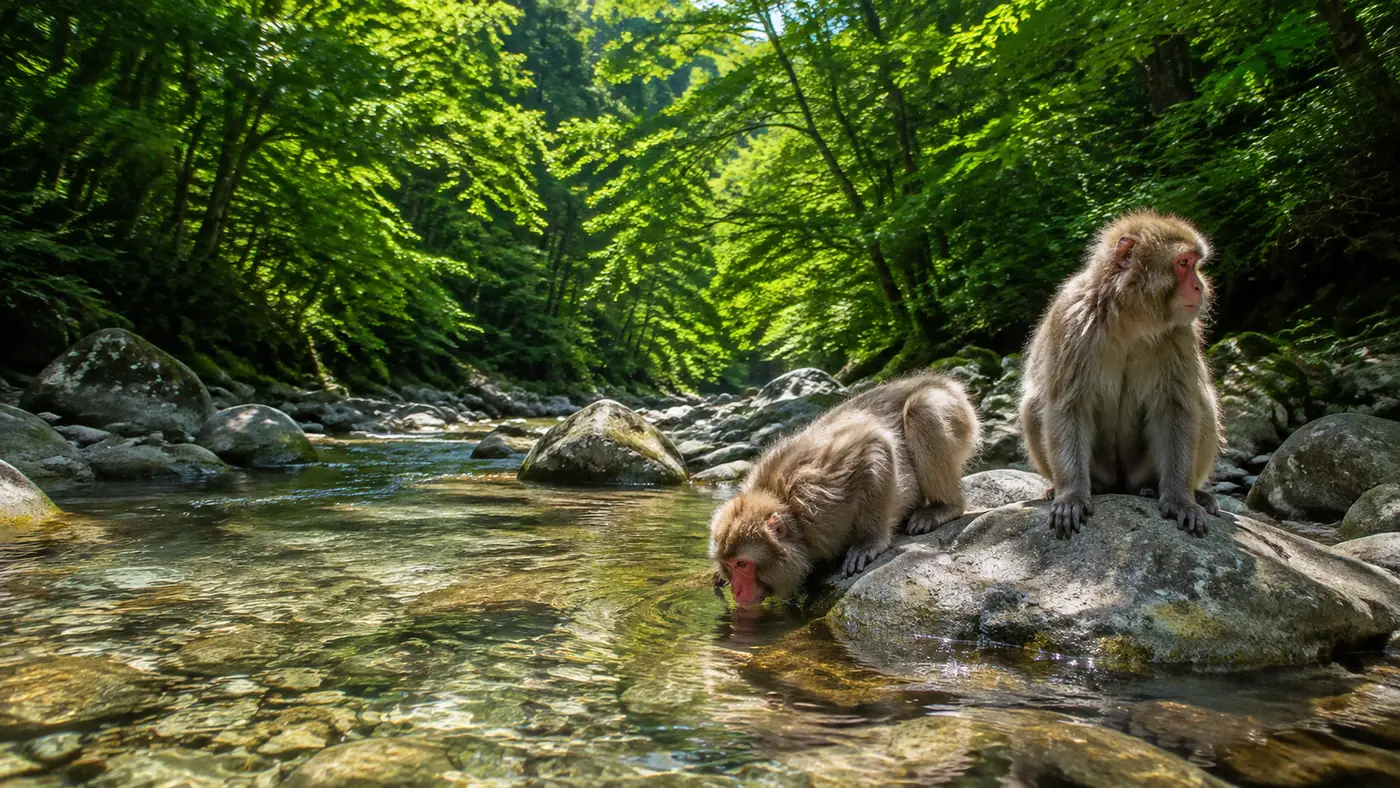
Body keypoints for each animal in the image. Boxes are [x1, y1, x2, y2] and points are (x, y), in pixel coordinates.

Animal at [709, 372, 981, 605]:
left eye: (742, 564)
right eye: (729, 564)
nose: (737, 591)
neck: (789, 509)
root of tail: (947, 384)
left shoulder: (820, 498)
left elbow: (875, 446)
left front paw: (870, 542)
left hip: (952, 410)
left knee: (921, 409)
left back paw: (943, 507)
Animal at [1019, 209, 1223, 540]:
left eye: (1195, 264)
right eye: (1183, 263)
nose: (1200, 287)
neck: (1130, 318)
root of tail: (1122, 483)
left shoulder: (1180, 332)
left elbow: (1175, 407)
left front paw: (1181, 499)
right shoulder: (1073, 319)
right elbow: (1069, 405)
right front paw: (1071, 495)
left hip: (1141, 469)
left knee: (1201, 402)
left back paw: (1175, 490)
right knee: (1033, 404)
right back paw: (1081, 487)